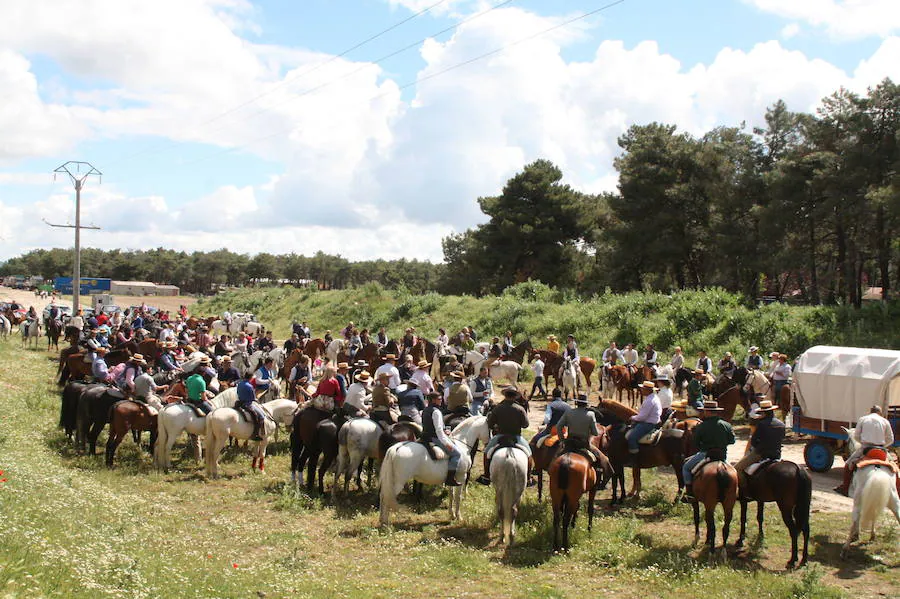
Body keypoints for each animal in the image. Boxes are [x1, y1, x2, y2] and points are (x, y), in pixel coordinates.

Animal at [840, 426, 896, 556]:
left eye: (846, 441)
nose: (844, 456)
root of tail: (877, 470)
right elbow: (873, 515)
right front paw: (872, 535)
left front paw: (857, 535)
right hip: (894, 500)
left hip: (858, 500)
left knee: (855, 520)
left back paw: (845, 548)